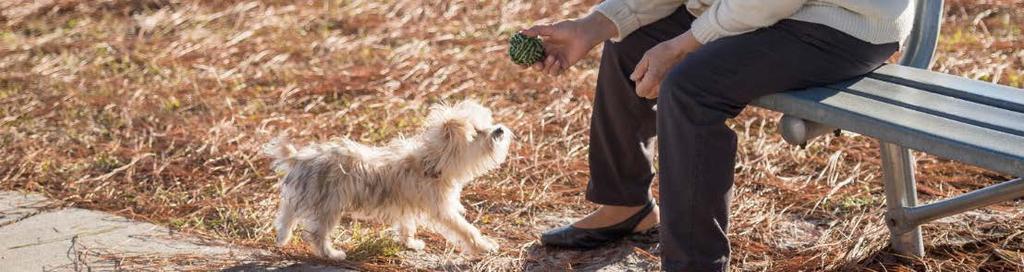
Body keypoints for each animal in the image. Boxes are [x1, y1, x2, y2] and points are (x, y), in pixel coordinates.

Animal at [260, 99, 507, 259]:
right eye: (477, 132)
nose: (500, 130)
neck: (432, 162)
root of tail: (298, 158)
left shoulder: (408, 204)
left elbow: (407, 225)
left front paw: (410, 243)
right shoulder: (443, 210)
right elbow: (466, 229)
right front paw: (484, 246)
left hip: (307, 196)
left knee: (287, 213)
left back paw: (282, 237)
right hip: (328, 206)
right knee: (316, 234)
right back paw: (331, 254)